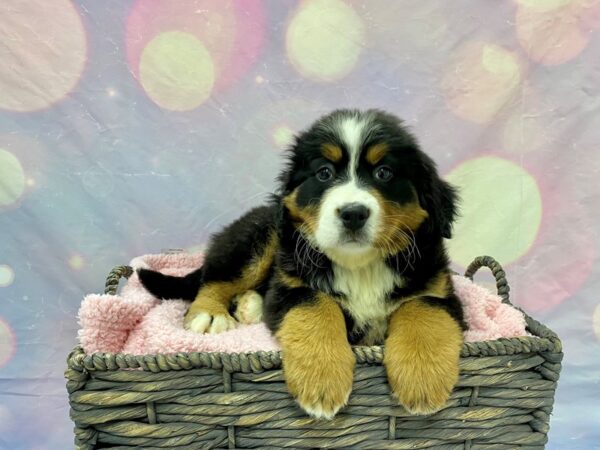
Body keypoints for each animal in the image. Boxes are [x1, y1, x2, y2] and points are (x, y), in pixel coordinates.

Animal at [139, 108, 464, 418]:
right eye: (324, 173)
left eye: (384, 172)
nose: (353, 213)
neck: (360, 266)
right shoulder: (291, 287)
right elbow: (317, 307)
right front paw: (322, 380)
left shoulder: (439, 290)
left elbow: (422, 310)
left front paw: (422, 380)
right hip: (259, 239)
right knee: (214, 278)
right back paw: (210, 314)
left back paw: (250, 306)